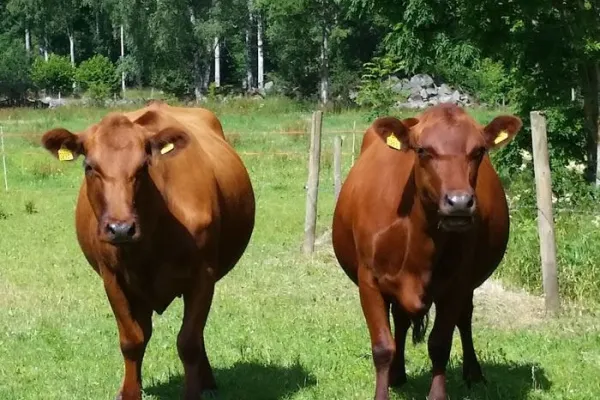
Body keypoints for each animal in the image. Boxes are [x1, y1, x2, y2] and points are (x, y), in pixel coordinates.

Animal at [39, 102, 255, 400]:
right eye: (89, 166)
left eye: (143, 166)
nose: (120, 228)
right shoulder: (113, 278)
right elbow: (132, 339)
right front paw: (130, 392)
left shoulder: (204, 275)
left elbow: (188, 341)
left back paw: (207, 381)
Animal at [330, 104, 524, 400]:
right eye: (422, 150)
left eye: (479, 151)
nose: (459, 202)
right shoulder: (369, 281)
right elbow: (383, 346)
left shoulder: (457, 283)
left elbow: (440, 344)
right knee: (400, 321)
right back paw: (397, 375)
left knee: (464, 319)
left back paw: (473, 373)